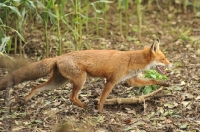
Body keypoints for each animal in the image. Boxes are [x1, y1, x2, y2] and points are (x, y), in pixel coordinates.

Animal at [0, 39, 172, 112]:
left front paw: (164, 84)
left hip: (58, 82)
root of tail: (58, 57)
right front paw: (100, 111)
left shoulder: (131, 81)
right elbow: (103, 98)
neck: (131, 60)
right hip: (80, 80)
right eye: (163, 59)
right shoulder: (111, 81)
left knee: (36, 87)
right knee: (72, 97)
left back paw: (24, 100)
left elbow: (152, 80)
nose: (171, 64)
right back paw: (85, 107)